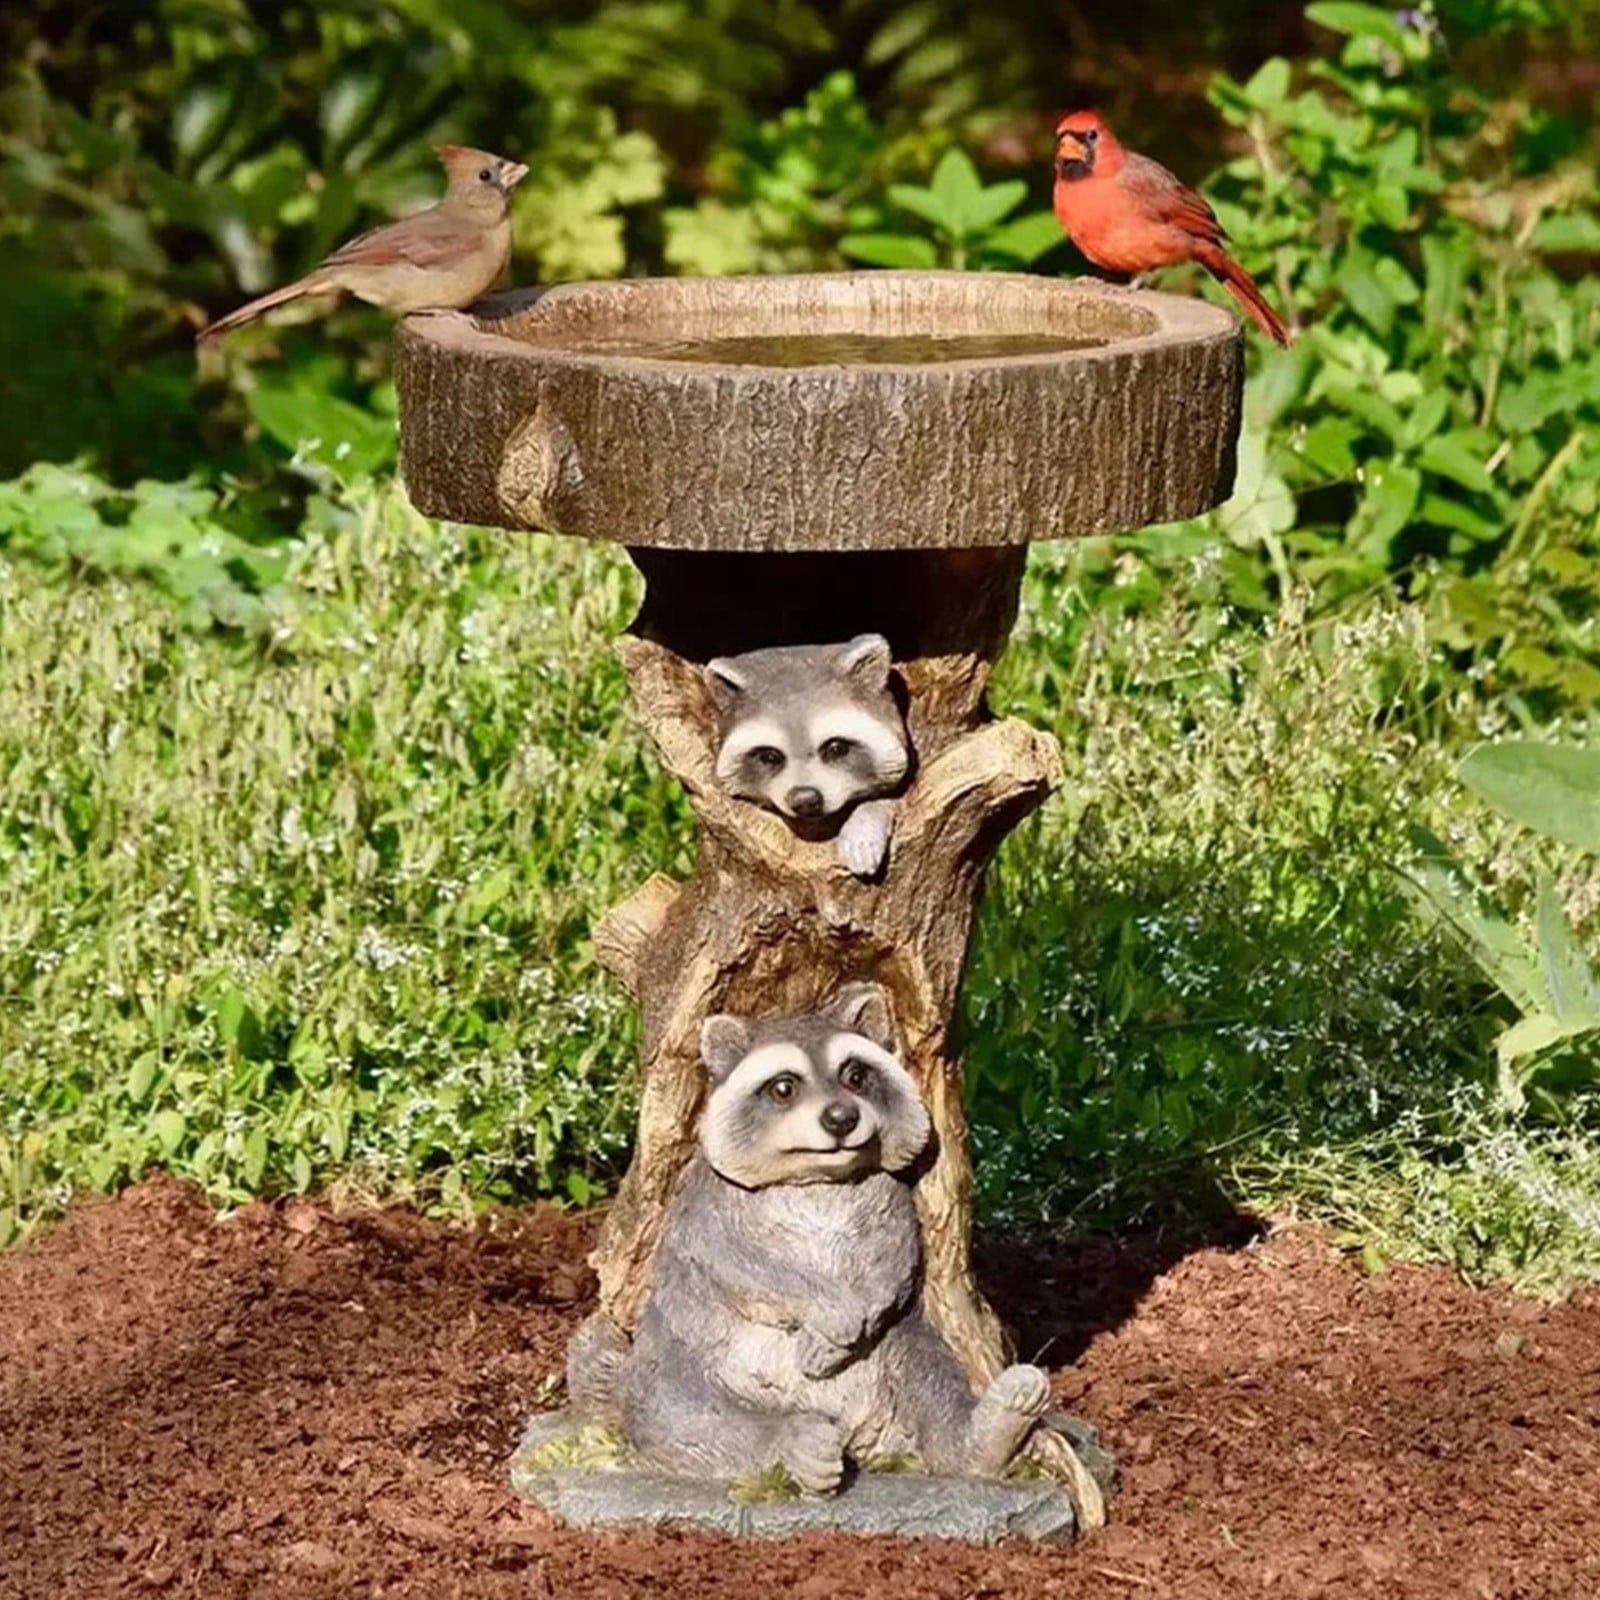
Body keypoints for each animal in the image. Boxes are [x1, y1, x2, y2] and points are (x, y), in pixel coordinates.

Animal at [570, 984, 1049, 1494]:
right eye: (784, 1088)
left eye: (856, 1075)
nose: (841, 1117)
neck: (816, 1176)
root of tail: (860, 1435)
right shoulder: (708, 1201)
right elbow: (741, 1264)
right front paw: (830, 1312)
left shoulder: (889, 1194)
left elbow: (895, 1255)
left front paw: (856, 1309)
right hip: (671, 1368)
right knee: (684, 1420)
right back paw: (795, 1442)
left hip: (903, 1348)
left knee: (930, 1379)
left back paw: (986, 1433)